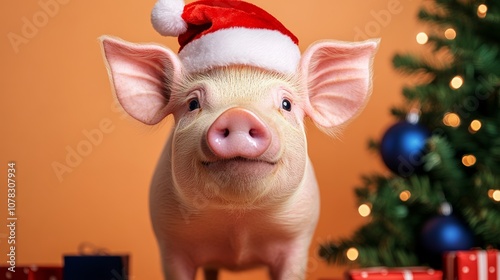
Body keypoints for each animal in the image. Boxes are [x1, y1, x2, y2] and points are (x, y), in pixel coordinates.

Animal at [99, 34, 376, 278]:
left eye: (286, 104)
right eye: (192, 104)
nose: (239, 114)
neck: (238, 223)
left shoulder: (298, 239)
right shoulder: (169, 242)